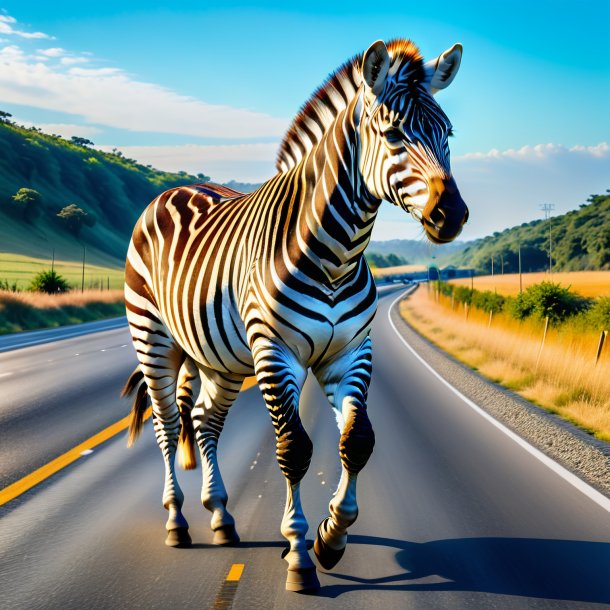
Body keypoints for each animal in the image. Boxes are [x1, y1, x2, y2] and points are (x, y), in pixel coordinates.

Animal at [122, 36, 466, 588]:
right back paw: (177, 521)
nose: (451, 215)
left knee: (204, 422)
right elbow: (294, 448)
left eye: (448, 133)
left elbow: (356, 440)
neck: (337, 256)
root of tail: (174, 189)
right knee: (169, 425)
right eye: (392, 134)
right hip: (153, 339)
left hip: (220, 359)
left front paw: (332, 537)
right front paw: (300, 553)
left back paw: (221, 515)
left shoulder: (350, 353)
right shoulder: (274, 352)